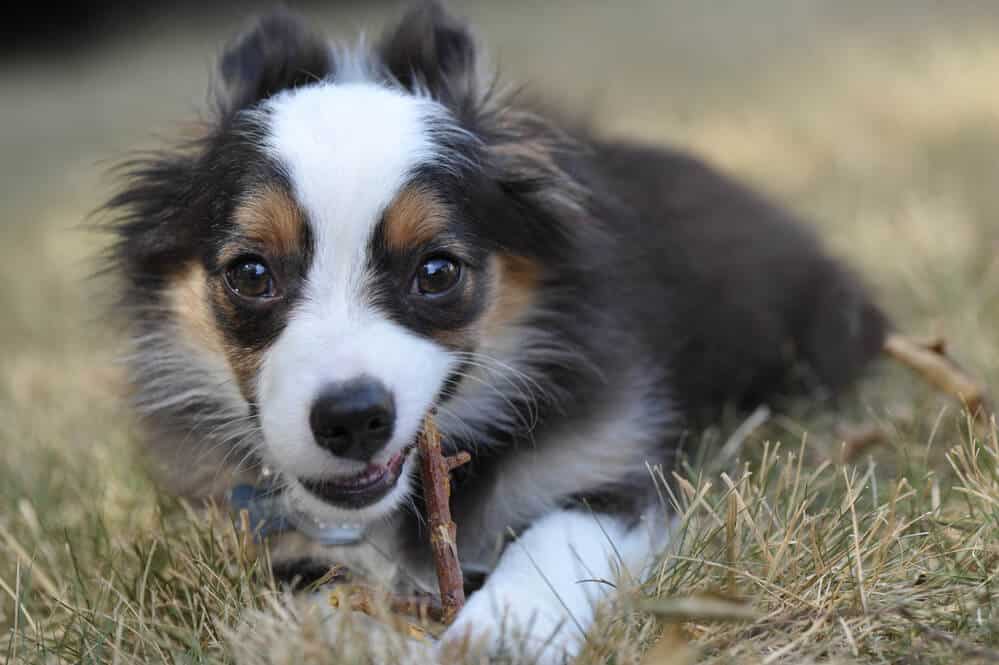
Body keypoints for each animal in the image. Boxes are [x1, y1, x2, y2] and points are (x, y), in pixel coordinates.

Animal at [107, 3, 892, 660]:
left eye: (436, 271)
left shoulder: (613, 467)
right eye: (250, 273)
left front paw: (500, 634)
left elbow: (556, 536)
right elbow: (320, 596)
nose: (352, 420)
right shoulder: (275, 541)